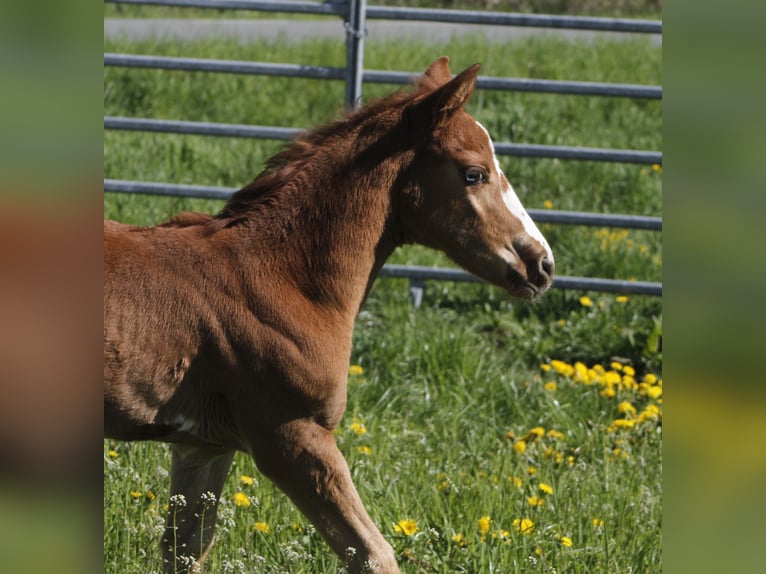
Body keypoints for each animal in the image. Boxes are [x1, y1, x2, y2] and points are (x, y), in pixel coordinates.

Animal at [105, 58, 556, 574]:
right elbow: (374, 553)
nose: (542, 264)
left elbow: (185, 549)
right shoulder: (293, 436)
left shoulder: (203, 447)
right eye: (474, 174)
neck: (281, 277)